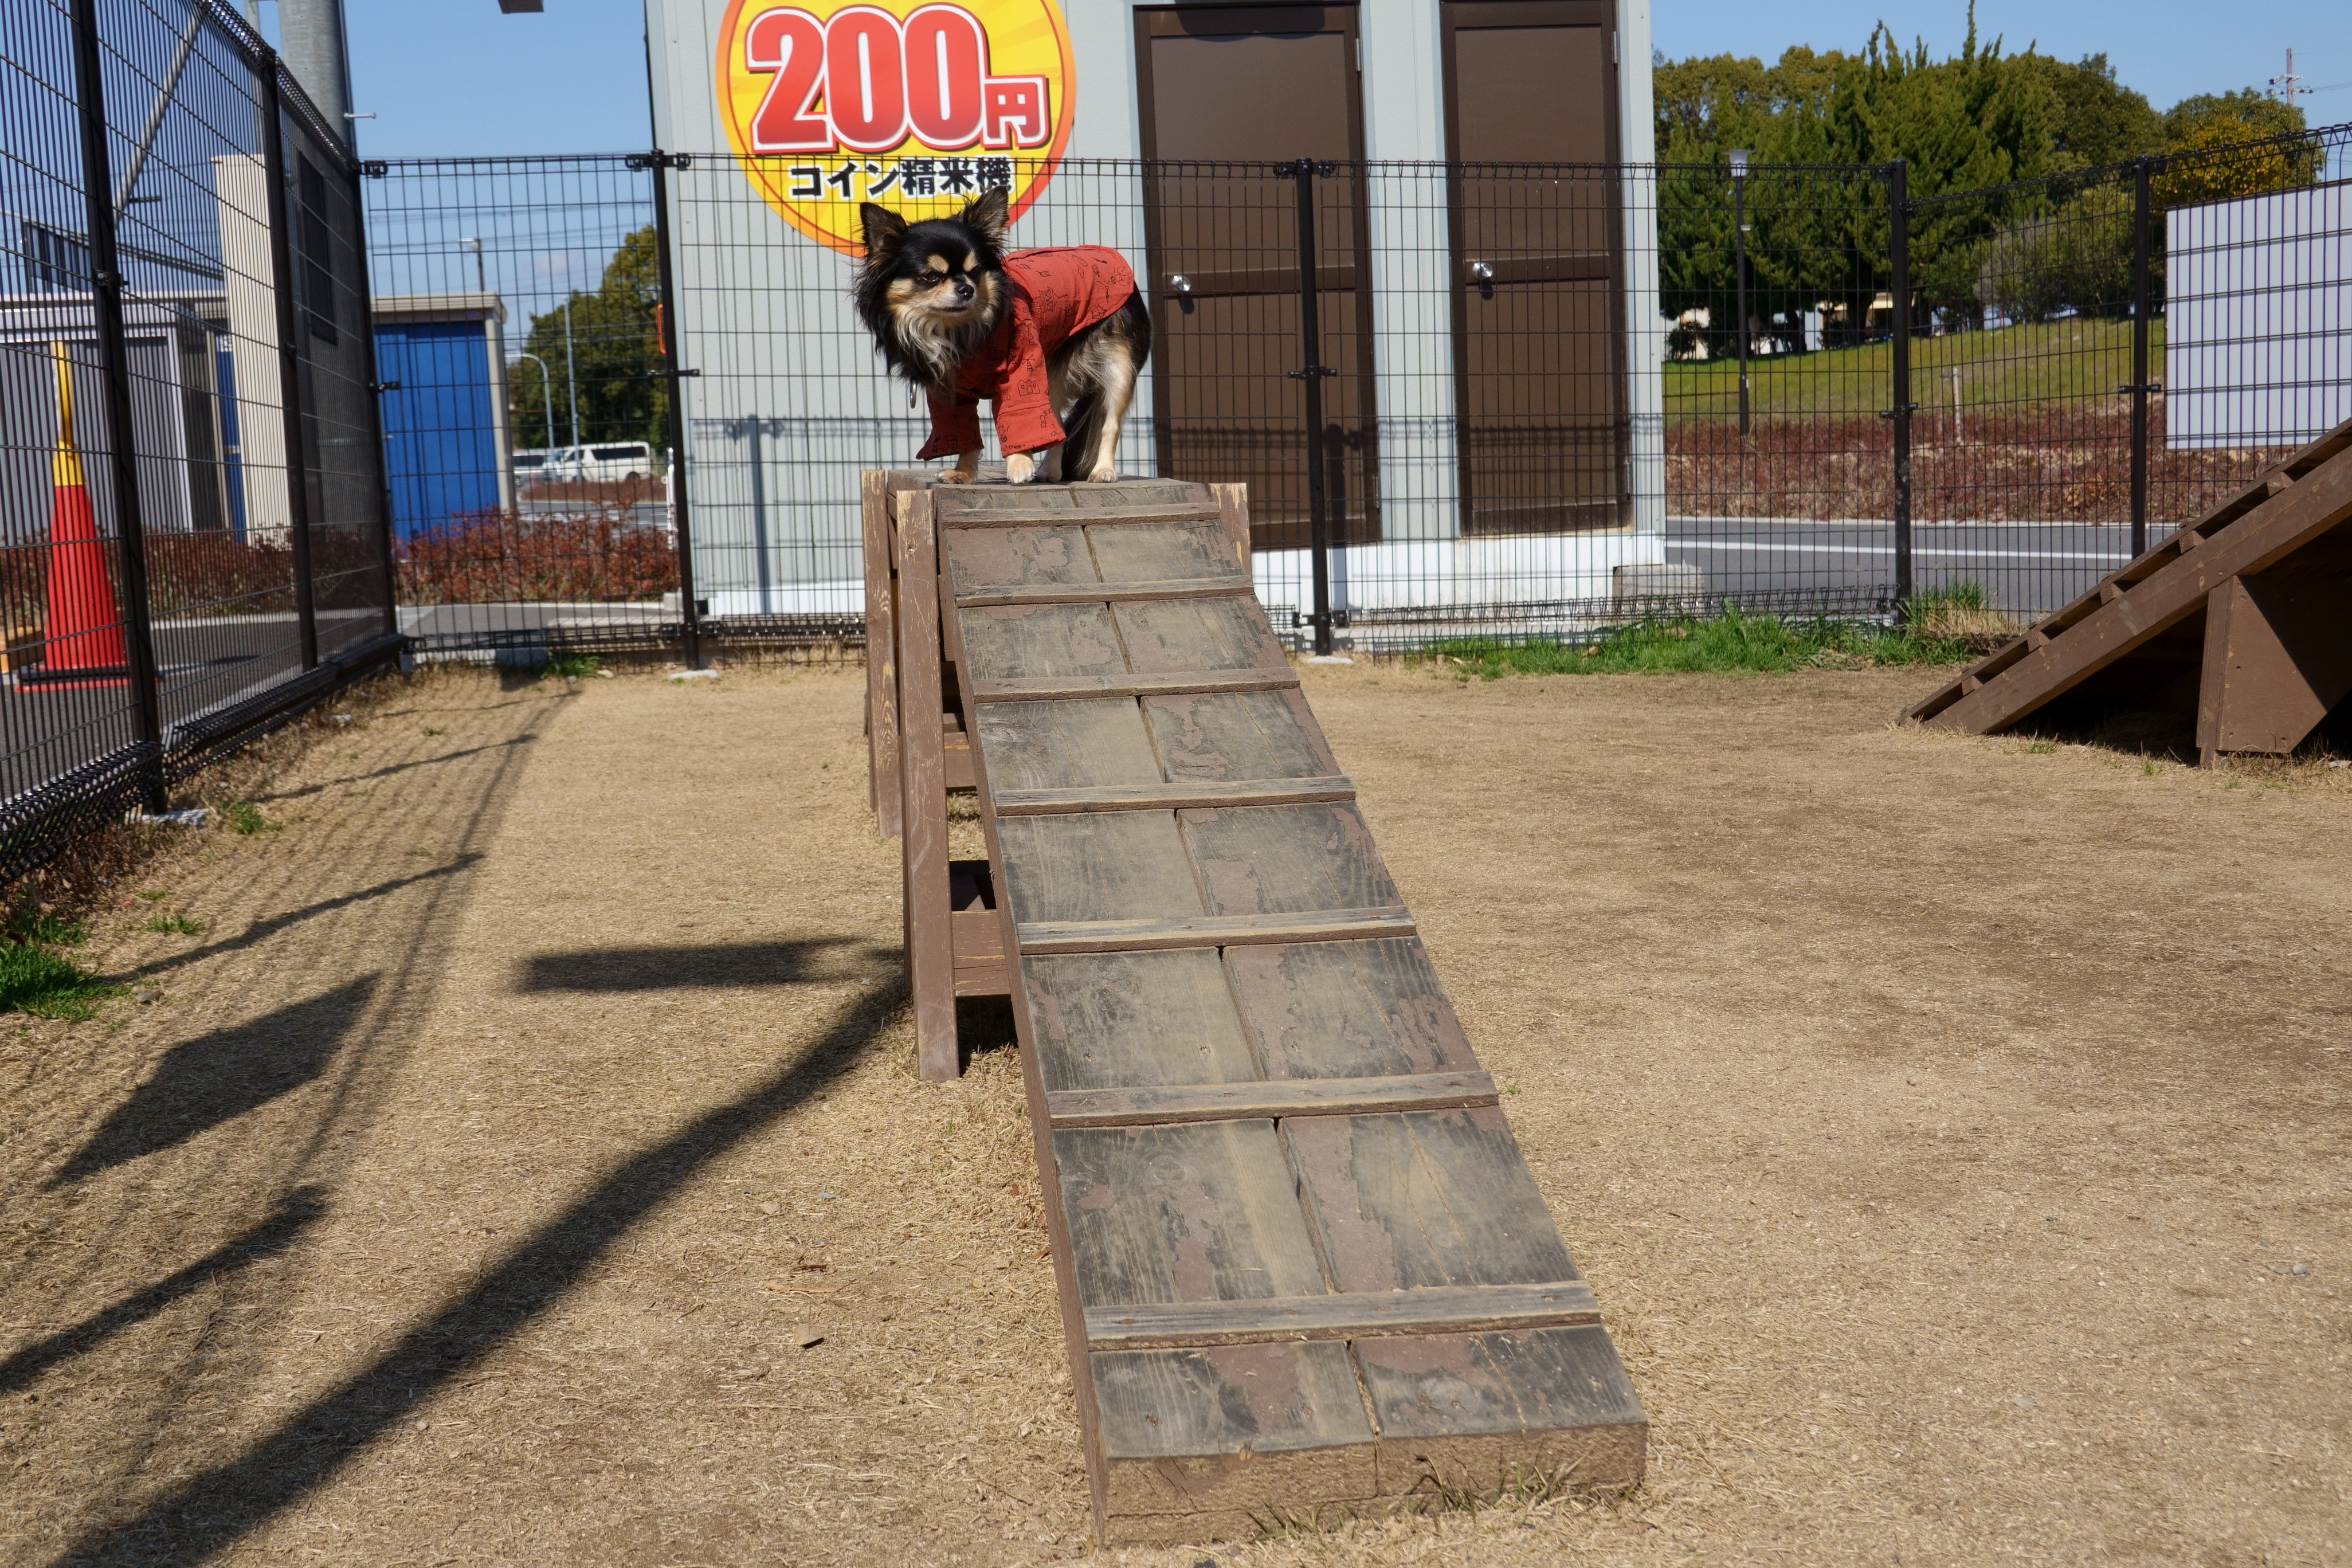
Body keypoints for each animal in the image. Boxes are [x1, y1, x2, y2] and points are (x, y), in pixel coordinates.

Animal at [865, 191, 1157, 484]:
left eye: (976, 272)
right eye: (930, 277)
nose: (966, 289)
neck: (956, 331)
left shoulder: (1023, 368)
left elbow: (1021, 413)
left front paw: (1019, 465)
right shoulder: (949, 391)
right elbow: (963, 430)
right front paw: (962, 473)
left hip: (1117, 369)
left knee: (1109, 425)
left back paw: (1104, 470)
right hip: (1052, 376)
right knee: (1057, 425)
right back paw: (1050, 471)